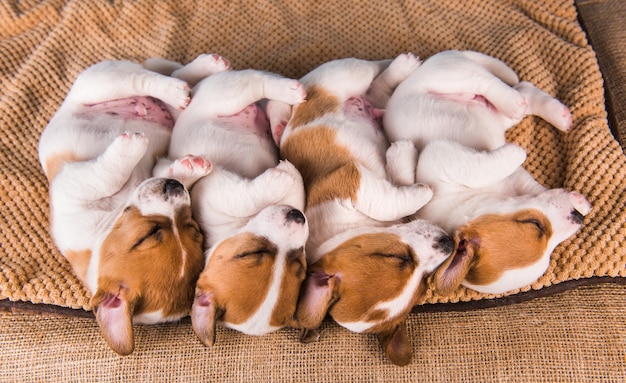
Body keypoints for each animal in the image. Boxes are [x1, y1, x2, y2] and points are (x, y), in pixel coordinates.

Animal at [37, 55, 224, 356]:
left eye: (191, 227)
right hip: (101, 84)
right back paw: (178, 88)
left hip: (114, 86)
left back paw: (194, 78)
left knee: (165, 79)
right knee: (146, 79)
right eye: (147, 235)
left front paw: (185, 169)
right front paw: (135, 150)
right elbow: (108, 176)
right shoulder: (75, 184)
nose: (173, 187)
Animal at [268, 56, 454, 366]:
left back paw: (402, 65)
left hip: (348, 73)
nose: (449, 243)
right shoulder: (358, 183)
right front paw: (408, 167)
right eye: (401, 259)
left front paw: (403, 160)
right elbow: (393, 195)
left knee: (373, 72)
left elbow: (391, 197)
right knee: (377, 90)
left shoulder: (351, 182)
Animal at [380, 51, 588, 296]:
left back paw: (533, 106)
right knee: (505, 86)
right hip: (463, 88)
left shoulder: (513, 178)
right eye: (535, 224)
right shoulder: (444, 156)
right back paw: (533, 107)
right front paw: (517, 152)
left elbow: (536, 188)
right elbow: (487, 168)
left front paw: (575, 199)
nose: (577, 217)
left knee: (501, 85)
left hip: (458, 82)